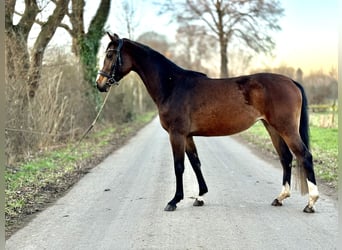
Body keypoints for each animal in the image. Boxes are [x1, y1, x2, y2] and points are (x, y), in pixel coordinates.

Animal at [95, 32, 318, 213]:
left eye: (110, 55)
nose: (100, 84)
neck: (172, 85)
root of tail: (291, 82)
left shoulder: (176, 134)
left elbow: (179, 166)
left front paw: (174, 201)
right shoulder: (187, 136)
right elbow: (195, 163)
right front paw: (200, 196)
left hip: (286, 128)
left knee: (304, 155)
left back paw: (311, 203)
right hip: (272, 127)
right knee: (285, 158)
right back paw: (280, 198)